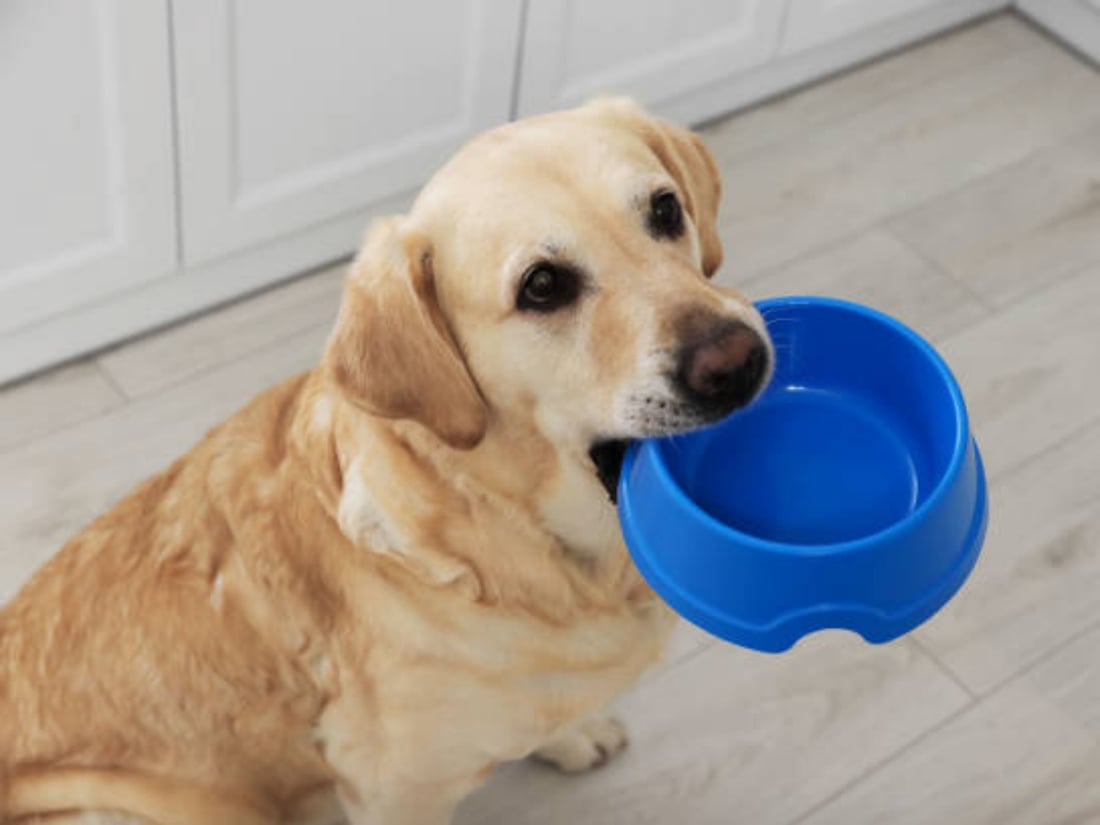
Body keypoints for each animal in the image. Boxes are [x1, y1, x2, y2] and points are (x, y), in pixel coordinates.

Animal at [0, 98, 774, 825]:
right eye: (543, 285)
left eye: (665, 208)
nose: (736, 362)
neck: (524, 545)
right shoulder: (394, 789)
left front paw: (570, 735)